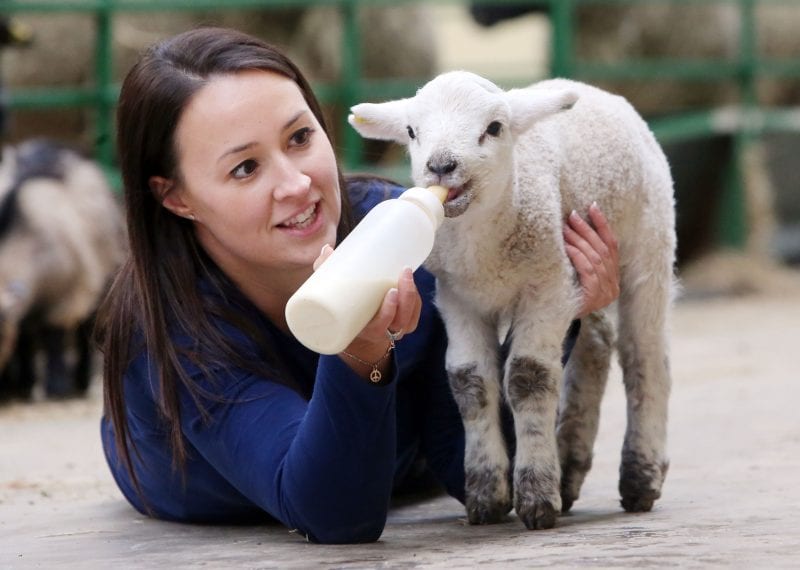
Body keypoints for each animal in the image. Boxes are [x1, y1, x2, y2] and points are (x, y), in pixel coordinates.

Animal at [350, 71, 676, 528]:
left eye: (494, 128)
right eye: (412, 131)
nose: (441, 166)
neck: (484, 249)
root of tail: (597, 91)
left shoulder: (548, 287)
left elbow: (528, 377)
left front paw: (537, 495)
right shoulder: (458, 298)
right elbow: (469, 382)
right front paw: (486, 494)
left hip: (649, 241)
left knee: (644, 355)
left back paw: (640, 477)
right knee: (595, 345)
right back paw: (569, 467)